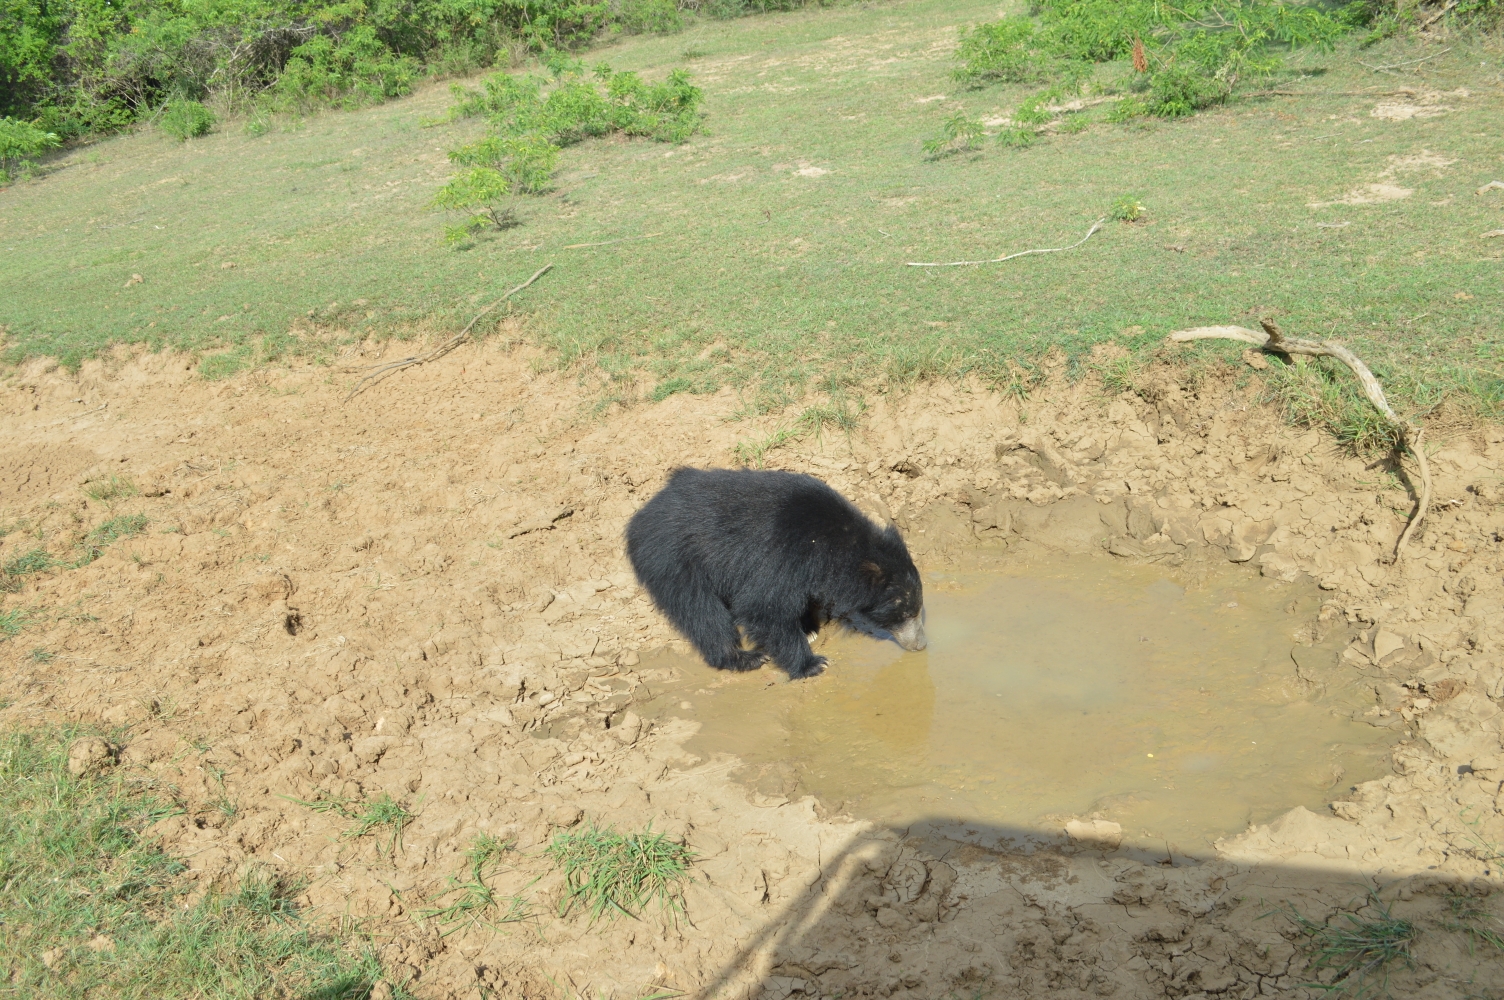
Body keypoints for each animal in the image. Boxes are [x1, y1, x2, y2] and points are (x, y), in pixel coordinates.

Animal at [622, 469, 926, 679]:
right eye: (906, 612)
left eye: (916, 610)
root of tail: (642, 514)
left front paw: (810, 628)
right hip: (673, 558)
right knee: (701, 611)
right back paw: (743, 658)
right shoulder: (780, 555)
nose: (921, 645)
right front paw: (813, 663)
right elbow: (763, 608)